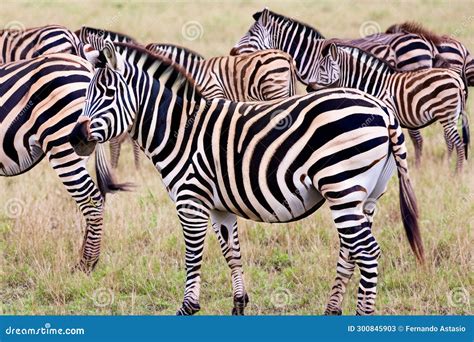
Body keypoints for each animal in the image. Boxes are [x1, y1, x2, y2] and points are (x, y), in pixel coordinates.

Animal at [308, 42, 466, 171]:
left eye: (321, 68)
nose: (308, 88)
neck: (373, 85)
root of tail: (457, 79)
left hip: (446, 114)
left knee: (458, 143)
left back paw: (457, 174)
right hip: (451, 115)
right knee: (451, 141)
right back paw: (448, 167)